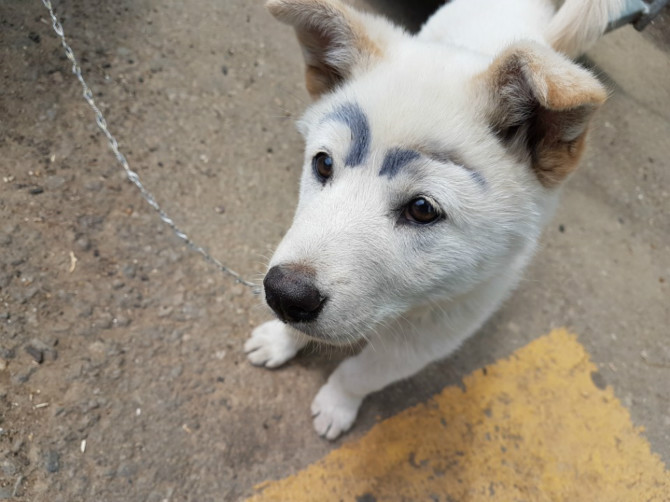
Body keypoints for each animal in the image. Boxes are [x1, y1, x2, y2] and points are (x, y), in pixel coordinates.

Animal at [245, 0, 624, 440]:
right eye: (323, 164)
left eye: (423, 209)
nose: (284, 295)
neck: (411, 306)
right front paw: (279, 340)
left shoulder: (427, 340)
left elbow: (360, 374)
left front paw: (336, 405)